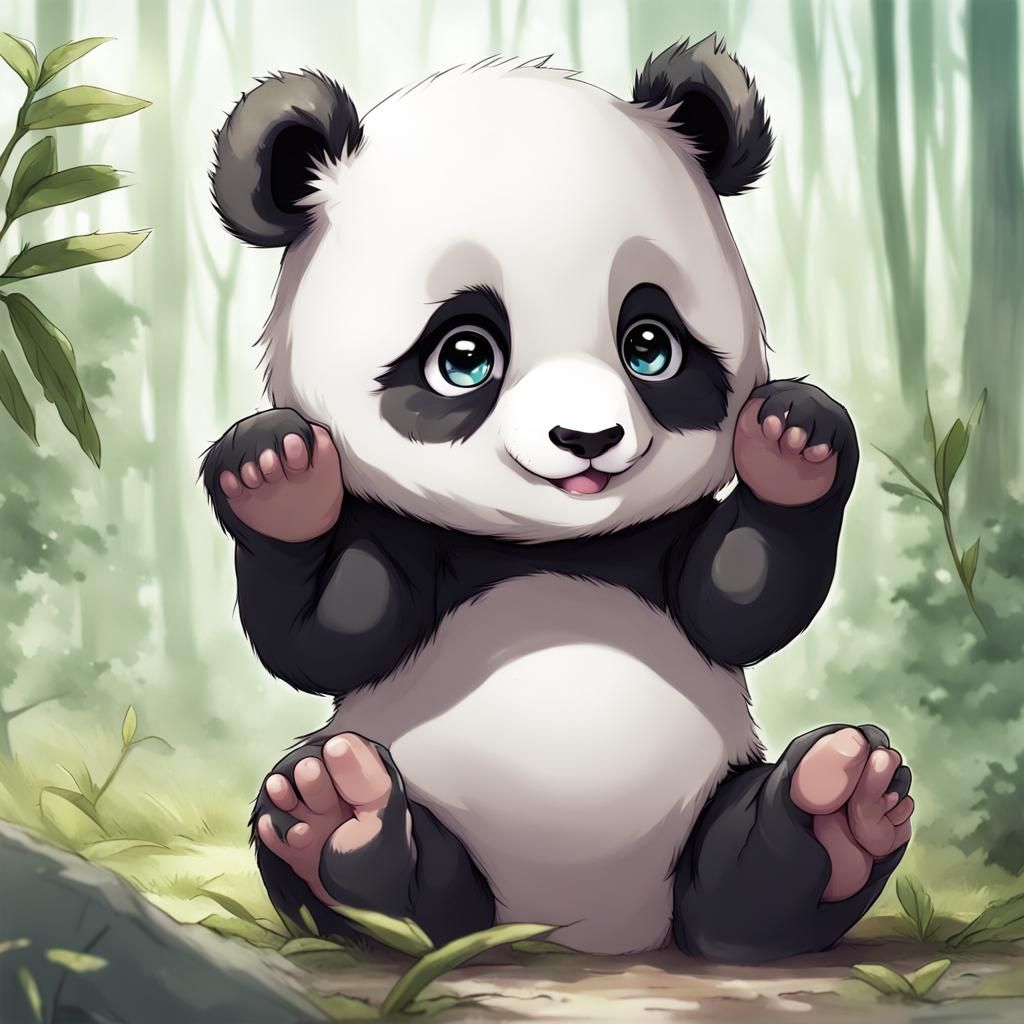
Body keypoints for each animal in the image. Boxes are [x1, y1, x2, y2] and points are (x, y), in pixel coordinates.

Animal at [202, 36, 914, 963]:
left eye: (649, 345)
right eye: (464, 356)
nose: (587, 440)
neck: (552, 542)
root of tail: (580, 929)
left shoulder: (661, 540)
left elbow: (735, 602)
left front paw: (794, 442)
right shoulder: (411, 532)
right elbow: (334, 634)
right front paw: (275, 478)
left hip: (705, 815)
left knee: (736, 890)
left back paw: (838, 813)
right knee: (408, 903)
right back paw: (339, 828)